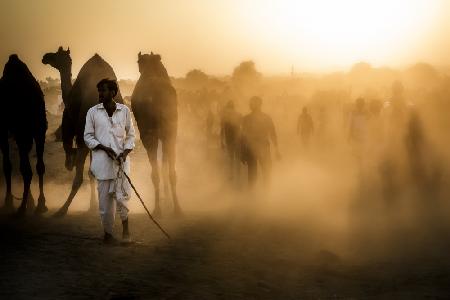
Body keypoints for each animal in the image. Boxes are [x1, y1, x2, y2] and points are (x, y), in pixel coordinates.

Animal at [0, 55, 48, 214]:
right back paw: (40, 203)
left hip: (23, 129)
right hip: (39, 129)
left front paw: (8, 202)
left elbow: (8, 165)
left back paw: (21, 208)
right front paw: (31, 202)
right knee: (39, 165)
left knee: (26, 170)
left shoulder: (4, 130)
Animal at [42, 46, 123, 216]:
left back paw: (62, 209)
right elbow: (92, 172)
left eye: (56, 54)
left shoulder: (72, 125)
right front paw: (93, 204)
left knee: (78, 176)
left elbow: (70, 150)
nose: (45, 57)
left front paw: (69, 162)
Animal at [130, 51, 181, 216]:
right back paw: (172, 208)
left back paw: (163, 208)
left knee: (159, 171)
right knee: (166, 170)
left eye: (138, 61)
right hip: (167, 132)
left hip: (156, 134)